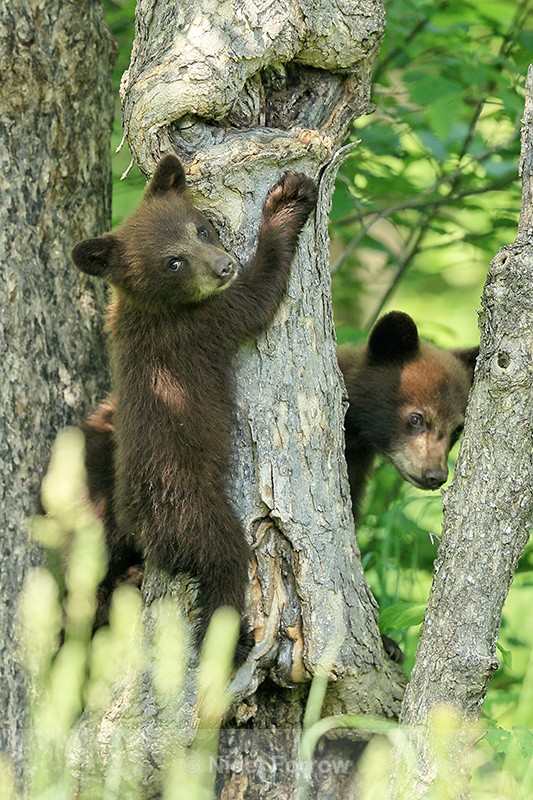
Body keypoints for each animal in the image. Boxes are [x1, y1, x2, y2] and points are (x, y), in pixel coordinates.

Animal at [71, 154, 317, 663]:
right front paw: (288, 201)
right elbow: (260, 295)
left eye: (201, 229)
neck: (154, 306)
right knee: (225, 561)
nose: (223, 266)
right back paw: (232, 637)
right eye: (174, 262)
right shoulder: (205, 324)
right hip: (193, 509)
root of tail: (142, 525)